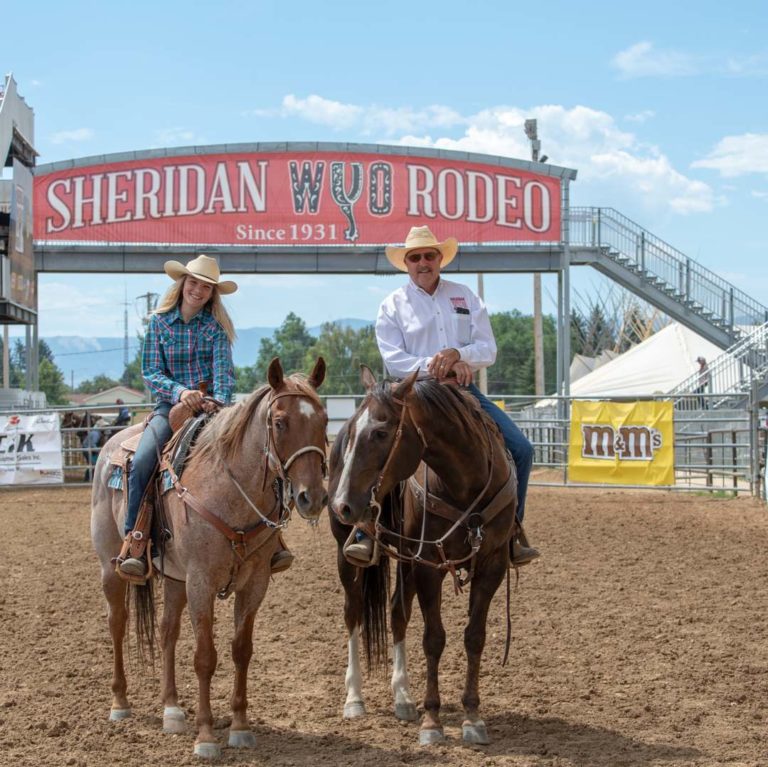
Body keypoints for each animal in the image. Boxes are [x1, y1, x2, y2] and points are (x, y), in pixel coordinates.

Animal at [91, 356, 328, 760]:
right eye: (280, 422)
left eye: (324, 420)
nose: (312, 497)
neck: (228, 491)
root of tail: (111, 447)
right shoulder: (201, 581)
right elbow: (205, 656)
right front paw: (205, 735)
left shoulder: (254, 583)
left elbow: (241, 650)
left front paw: (240, 727)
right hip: (112, 567)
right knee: (117, 623)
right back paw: (119, 703)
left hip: (174, 579)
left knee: (167, 631)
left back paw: (171, 709)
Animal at [328, 368, 520, 748]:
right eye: (355, 429)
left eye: (381, 432)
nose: (343, 504)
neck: (464, 484)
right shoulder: (429, 566)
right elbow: (434, 639)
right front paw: (432, 722)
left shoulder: (490, 565)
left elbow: (474, 636)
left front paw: (473, 717)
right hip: (350, 557)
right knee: (353, 613)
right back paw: (354, 698)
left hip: (405, 561)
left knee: (397, 612)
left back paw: (402, 697)